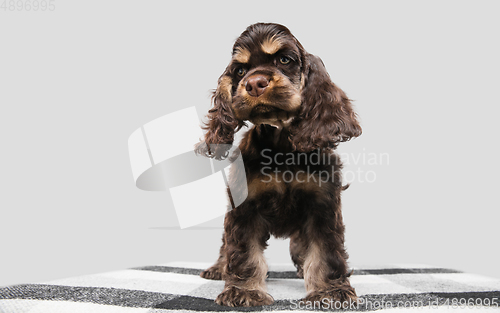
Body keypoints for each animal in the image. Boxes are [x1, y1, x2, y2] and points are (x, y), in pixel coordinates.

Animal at [193, 23, 362, 306]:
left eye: (284, 60)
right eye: (240, 70)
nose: (254, 83)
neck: (282, 148)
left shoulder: (323, 204)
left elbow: (326, 251)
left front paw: (330, 292)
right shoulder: (245, 207)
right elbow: (243, 251)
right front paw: (243, 291)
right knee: (226, 245)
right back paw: (218, 268)